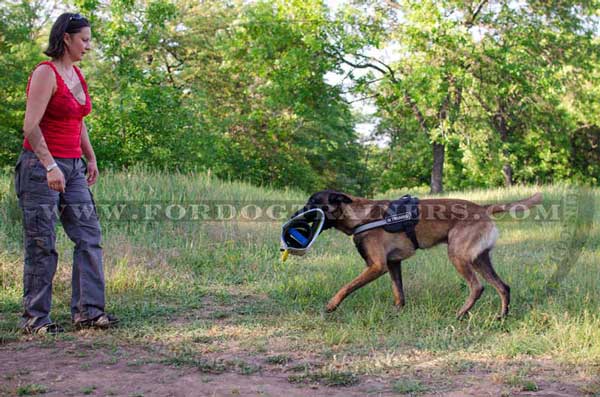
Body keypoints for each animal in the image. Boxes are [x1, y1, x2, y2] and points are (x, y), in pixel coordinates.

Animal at [302, 189, 540, 318]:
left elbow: (347, 287)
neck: (361, 217)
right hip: (480, 260)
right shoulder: (393, 264)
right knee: (503, 287)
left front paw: (331, 305)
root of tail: (483, 208)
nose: (297, 213)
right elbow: (398, 293)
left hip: (458, 255)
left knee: (477, 287)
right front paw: (397, 313)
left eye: (313, 202)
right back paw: (501, 316)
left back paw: (461, 314)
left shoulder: (377, 266)